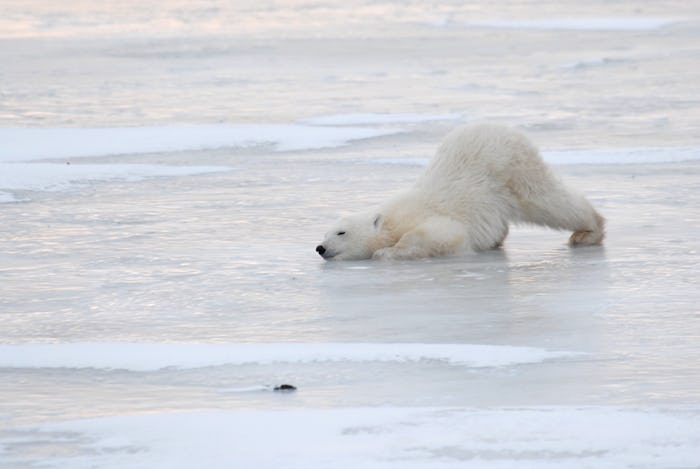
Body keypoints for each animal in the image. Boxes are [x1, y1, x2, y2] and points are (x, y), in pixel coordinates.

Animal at [314, 122, 604, 262]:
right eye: (325, 232)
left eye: (341, 232)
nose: (320, 247)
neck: (392, 220)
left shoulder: (427, 218)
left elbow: (441, 234)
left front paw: (386, 253)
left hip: (512, 170)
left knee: (548, 201)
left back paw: (588, 231)